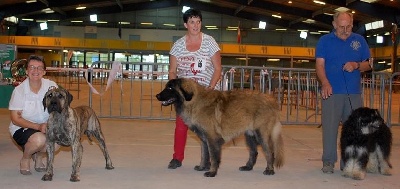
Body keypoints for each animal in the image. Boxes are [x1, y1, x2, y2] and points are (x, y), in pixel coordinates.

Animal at [156, 78, 284, 177]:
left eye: (170, 88)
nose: (157, 95)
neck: (195, 101)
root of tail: (270, 100)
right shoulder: (204, 140)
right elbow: (204, 155)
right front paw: (202, 167)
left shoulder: (212, 138)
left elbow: (213, 157)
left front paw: (212, 172)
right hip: (249, 135)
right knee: (254, 152)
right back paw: (247, 167)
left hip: (261, 134)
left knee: (270, 152)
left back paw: (269, 170)